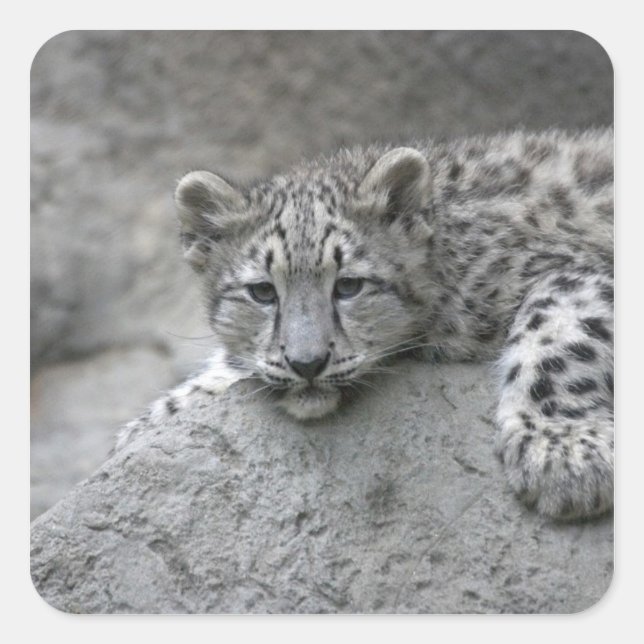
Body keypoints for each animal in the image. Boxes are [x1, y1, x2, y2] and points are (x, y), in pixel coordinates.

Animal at [115, 128, 614, 521]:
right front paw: (140, 431)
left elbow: (560, 330)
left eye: (349, 285)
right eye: (262, 292)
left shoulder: (576, 270)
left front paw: (563, 456)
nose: (307, 363)